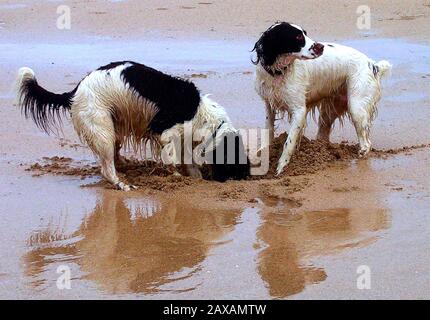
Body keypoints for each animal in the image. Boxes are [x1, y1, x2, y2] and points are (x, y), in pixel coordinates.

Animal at [17, 61, 249, 189]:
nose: (244, 179)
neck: (202, 114)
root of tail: (74, 91)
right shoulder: (165, 132)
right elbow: (172, 159)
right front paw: (175, 179)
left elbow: (188, 162)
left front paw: (194, 179)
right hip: (103, 131)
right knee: (106, 169)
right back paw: (122, 184)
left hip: (114, 128)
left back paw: (125, 166)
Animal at [254, 23, 392, 175]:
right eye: (298, 36)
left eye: (305, 33)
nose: (321, 47)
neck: (279, 72)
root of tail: (373, 65)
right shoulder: (269, 105)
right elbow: (268, 131)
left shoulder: (299, 111)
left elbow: (289, 142)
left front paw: (281, 167)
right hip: (330, 110)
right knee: (323, 134)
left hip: (356, 107)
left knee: (366, 142)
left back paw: (360, 154)